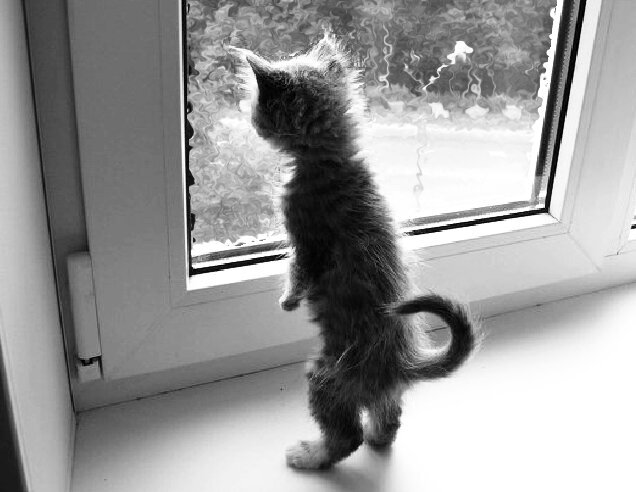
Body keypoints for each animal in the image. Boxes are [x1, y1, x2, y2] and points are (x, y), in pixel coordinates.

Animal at [229, 34, 477, 470]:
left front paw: (288, 301)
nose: (252, 121)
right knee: (388, 417)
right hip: (377, 394)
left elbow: (298, 269)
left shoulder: (306, 236)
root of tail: (400, 363)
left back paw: (309, 455)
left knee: (347, 437)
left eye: (259, 107)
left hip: (327, 376)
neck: (332, 160)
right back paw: (379, 438)